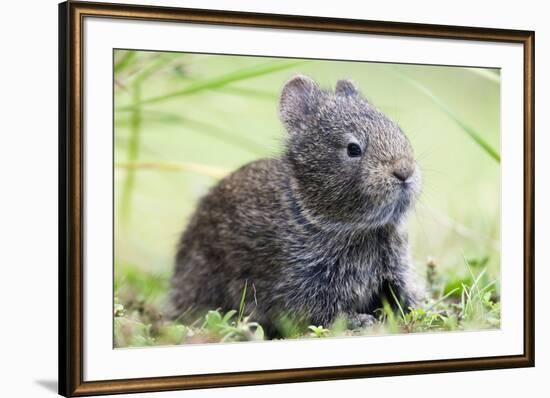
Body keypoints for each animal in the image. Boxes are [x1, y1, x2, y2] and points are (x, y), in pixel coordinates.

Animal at [170, 75, 424, 336]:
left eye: (399, 131)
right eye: (353, 149)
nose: (404, 171)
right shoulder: (304, 282)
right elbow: (322, 313)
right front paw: (361, 321)